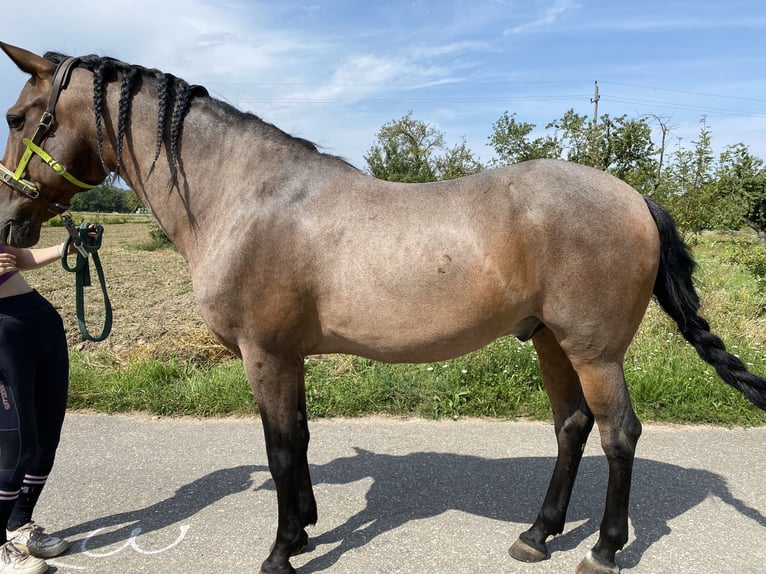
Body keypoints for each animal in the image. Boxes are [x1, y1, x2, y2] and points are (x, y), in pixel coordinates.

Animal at [0, 41, 764, 574]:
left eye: (16, 116)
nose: (9, 222)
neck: (246, 195)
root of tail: (635, 197)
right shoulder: (287, 357)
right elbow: (301, 438)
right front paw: (307, 528)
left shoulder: (264, 354)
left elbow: (280, 448)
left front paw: (281, 549)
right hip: (550, 340)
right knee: (572, 427)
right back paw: (537, 533)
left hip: (594, 349)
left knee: (618, 433)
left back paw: (602, 549)